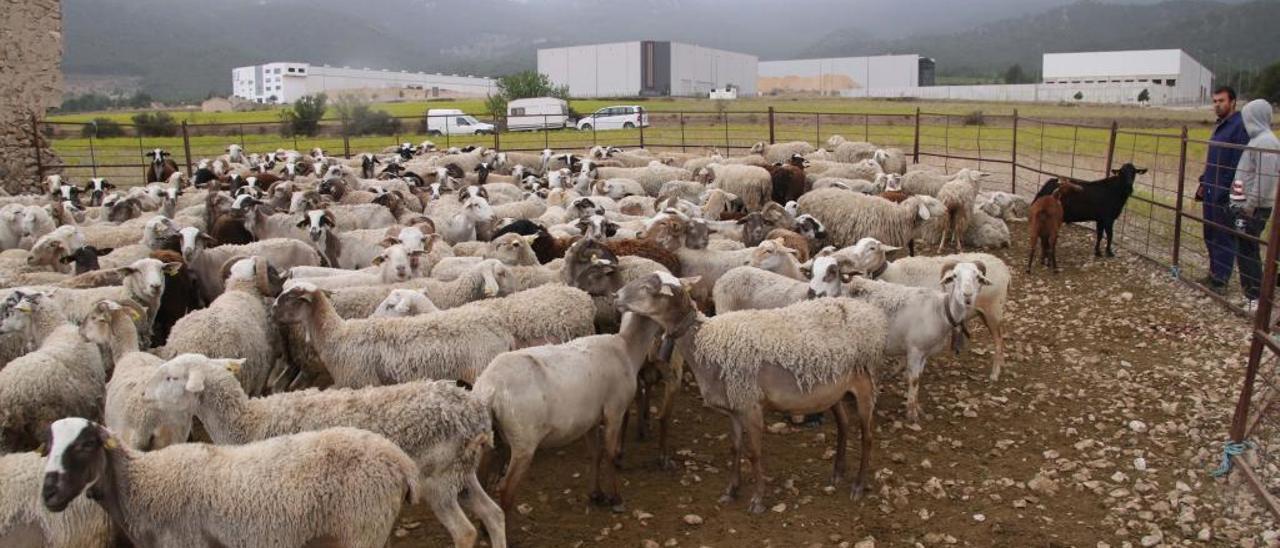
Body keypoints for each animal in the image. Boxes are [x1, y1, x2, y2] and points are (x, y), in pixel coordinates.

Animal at [40, 419, 417, 548]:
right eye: (48, 444)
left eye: (86, 444)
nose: (49, 494)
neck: (142, 483)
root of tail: (398, 459)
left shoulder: (185, 544)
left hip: (362, 528)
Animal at [140, 355, 499, 548]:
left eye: (171, 377)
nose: (142, 393)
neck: (248, 421)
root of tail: (475, 412)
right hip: (461, 473)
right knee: (493, 513)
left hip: (438, 480)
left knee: (466, 532)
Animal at [619, 276, 890, 512]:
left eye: (646, 287)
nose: (616, 296)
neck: (706, 340)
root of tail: (871, 312)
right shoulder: (734, 407)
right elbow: (735, 448)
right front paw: (731, 491)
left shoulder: (751, 406)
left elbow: (754, 454)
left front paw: (758, 500)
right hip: (832, 390)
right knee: (843, 424)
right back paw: (837, 473)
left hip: (866, 383)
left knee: (867, 437)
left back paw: (858, 485)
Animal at [808, 257, 988, 425]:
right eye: (955, 276)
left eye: (978, 277)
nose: (967, 296)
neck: (940, 311)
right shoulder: (915, 350)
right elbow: (913, 380)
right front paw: (911, 413)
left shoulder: (924, 353)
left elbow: (918, 378)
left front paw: (917, 407)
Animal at [839, 238, 1008, 384]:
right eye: (857, 244)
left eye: (872, 248)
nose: (850, 262)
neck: (893, 273)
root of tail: (1005, 268)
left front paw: (901, 368)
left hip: (993, 311)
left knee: (999, 341)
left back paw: (995, 373)